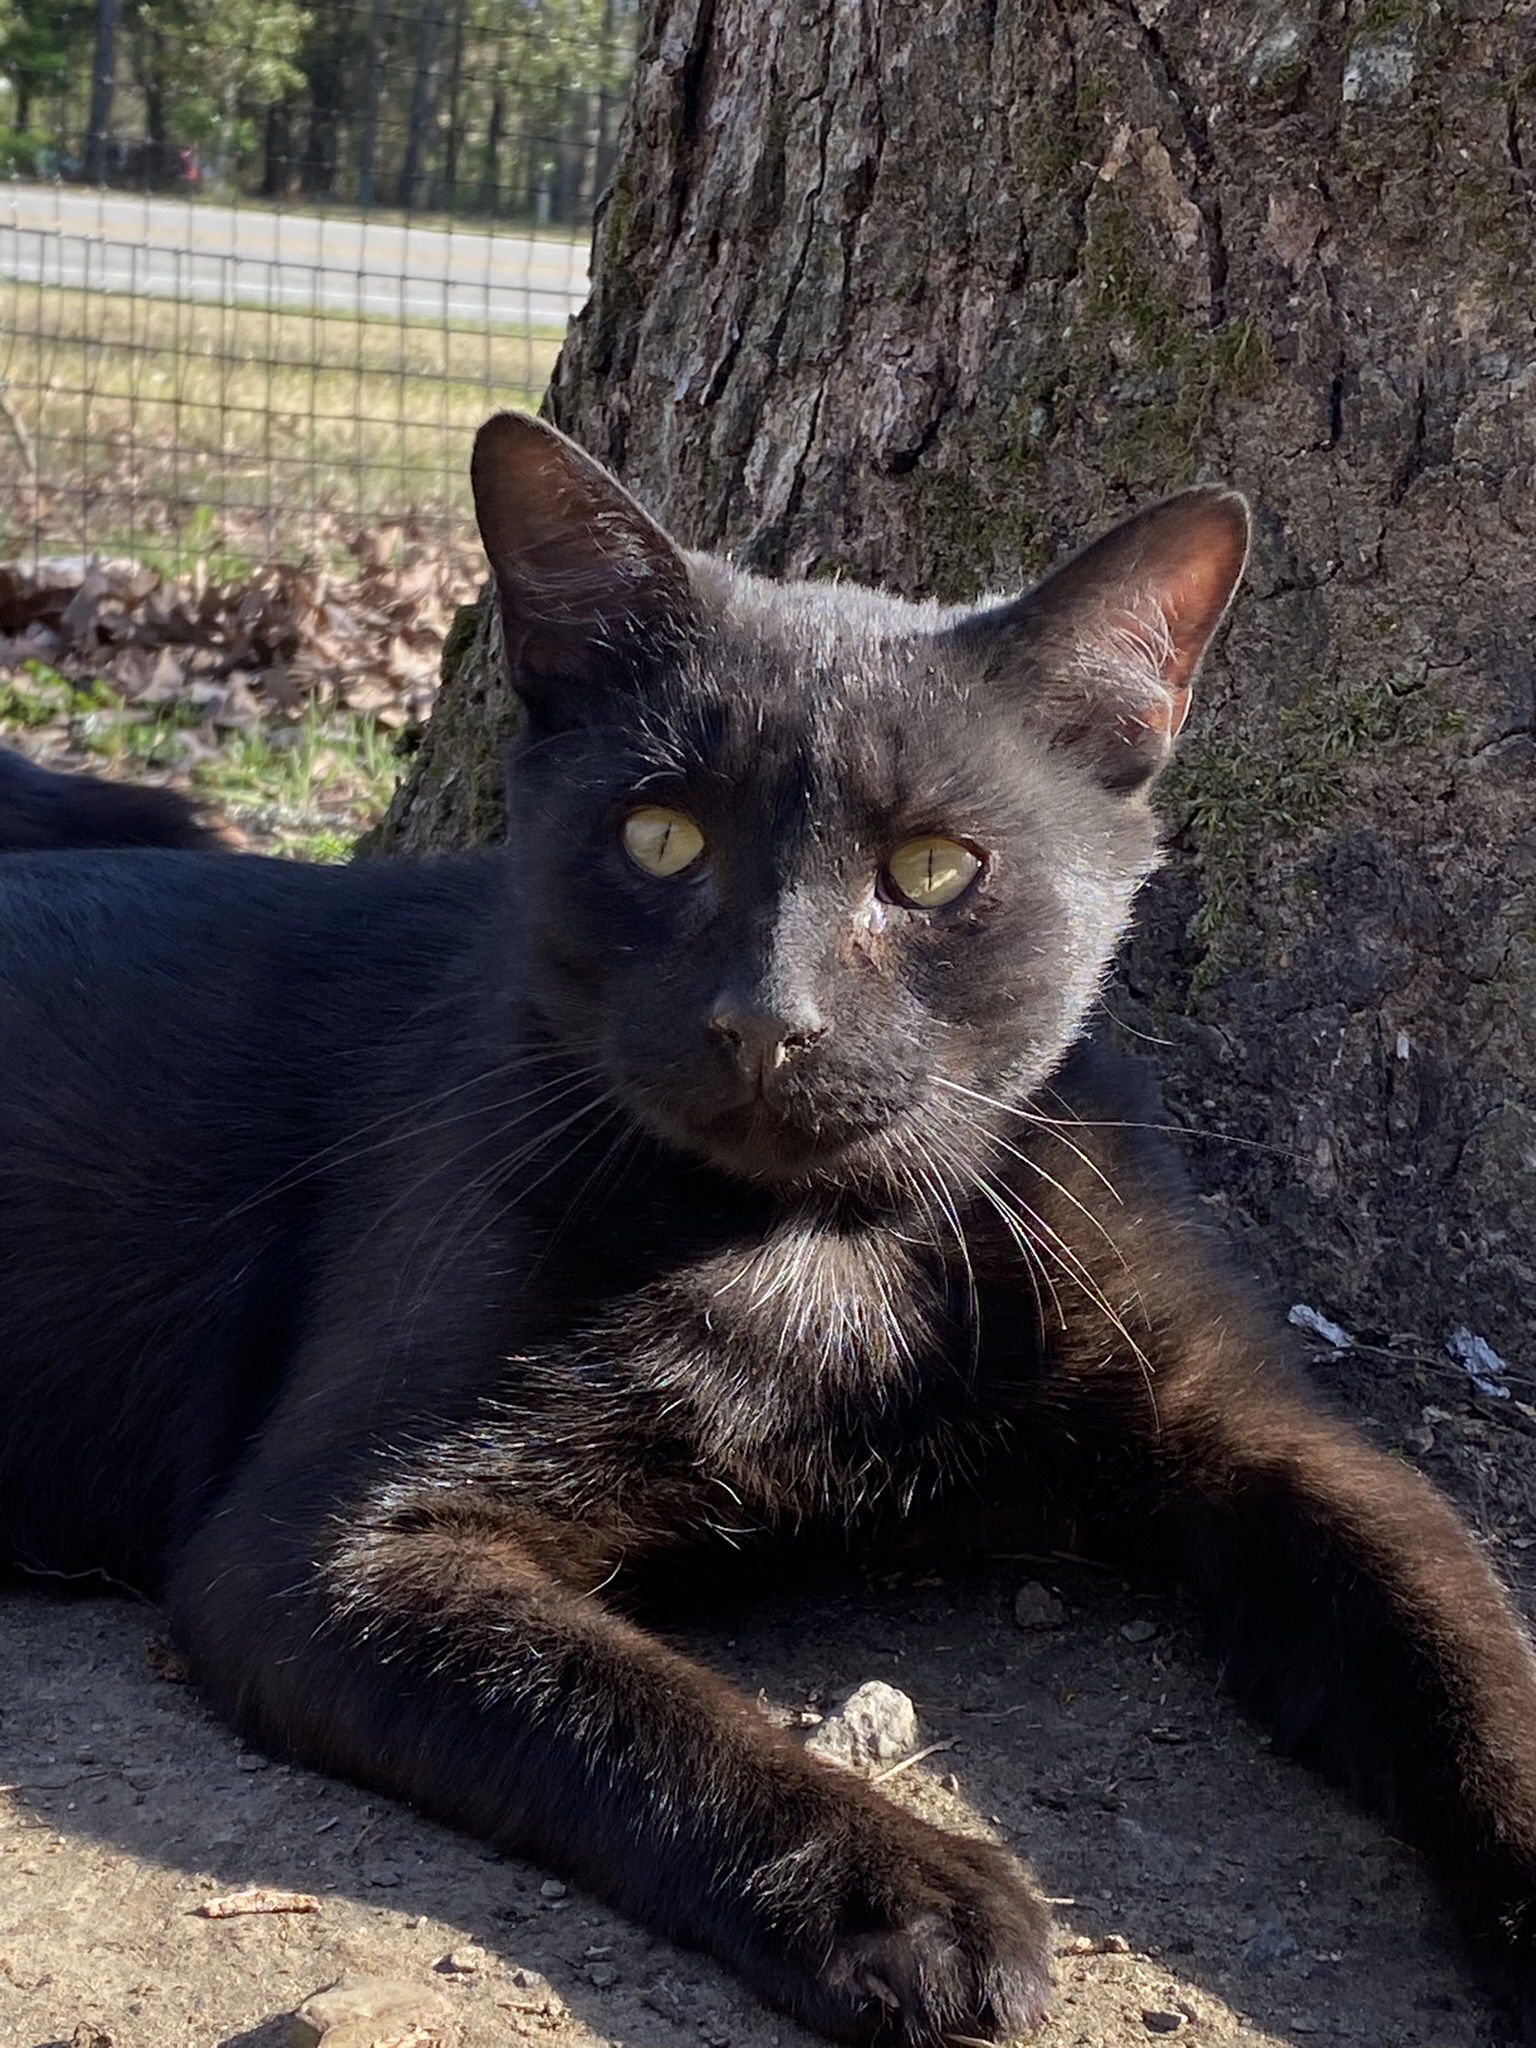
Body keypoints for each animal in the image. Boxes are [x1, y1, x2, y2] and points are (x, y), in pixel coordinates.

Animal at [3, 407, 1536, 2039]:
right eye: (662, 838)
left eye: (933, 868)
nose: (764, 1019)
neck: (828, 1245)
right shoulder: (307, 1551)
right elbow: (629, 1701)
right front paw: (905, 1892)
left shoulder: (1259, 1430)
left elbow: (1461, 1644)